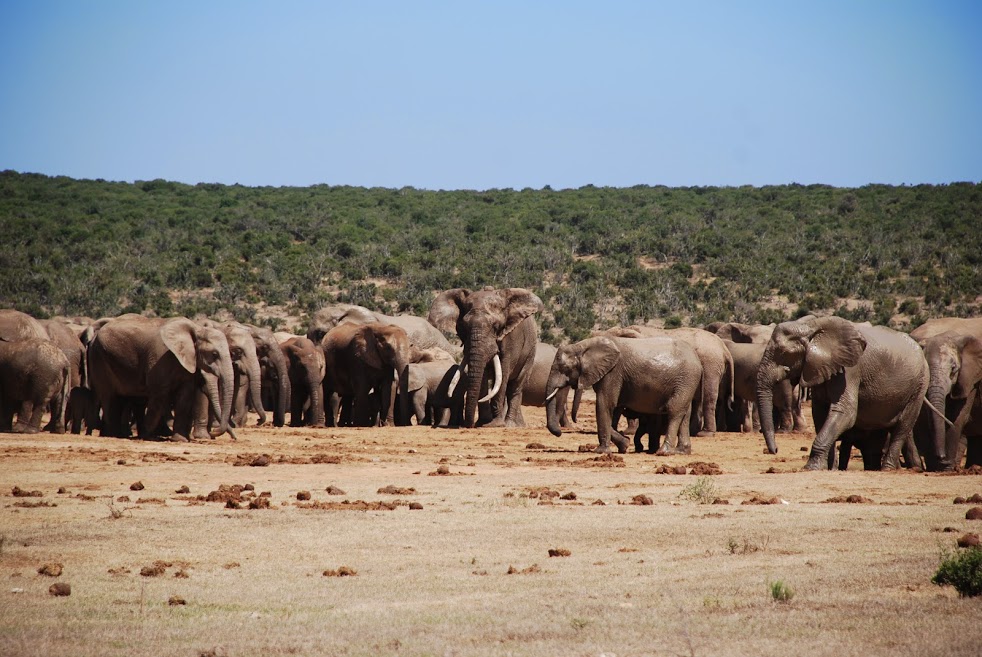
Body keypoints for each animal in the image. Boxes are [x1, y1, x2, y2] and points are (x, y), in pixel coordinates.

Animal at [87, 316, 235, 441]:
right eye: (214, 354)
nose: (214, 432)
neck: (196, 329)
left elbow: (184, 397)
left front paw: (179, 440)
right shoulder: (159, 358)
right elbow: (159, 393)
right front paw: (148, 437)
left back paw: (119, 434)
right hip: (98, 357)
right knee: (109, 397)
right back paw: (114, 435)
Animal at [428, 287, 543, 428]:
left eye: (496, 326)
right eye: (464, 326)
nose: (467, 425)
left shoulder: (510, 339)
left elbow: (503, 372)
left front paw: (495, 424)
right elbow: (482, 376)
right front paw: (482, 423)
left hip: (531, 351)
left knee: (515, 386)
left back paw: (510, 424)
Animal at [545, 335, 703, 455]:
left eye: (565, 368)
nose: (559, 433)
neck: (582, 346)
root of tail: (697, 359)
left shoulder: (613, 373)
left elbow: (605, 404)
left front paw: (601, 451)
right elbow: (612, 408)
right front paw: (624, 444)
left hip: (686, 378)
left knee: (674, 410)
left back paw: (663, 452)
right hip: (686, 381)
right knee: (685, 412)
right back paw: (682, 451)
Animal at [756, 316, 928, 470]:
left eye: (784, 353)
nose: (775, 450)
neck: (811, 327)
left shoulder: (849, 370)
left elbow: (845, 412)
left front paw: (811, 467)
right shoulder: (821, 369)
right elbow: (820, 413)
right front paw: (828, 468)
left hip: (919, 386)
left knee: (902, 427)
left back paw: (887, 469)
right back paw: (873, 468)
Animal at [913, 330, 982, 470]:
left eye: (954, 369)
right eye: (925, 367)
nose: (941, 457)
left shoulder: (969, 380)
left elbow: (958, 418)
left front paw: (946, 468)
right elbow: (927, 418)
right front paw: (935, 467)